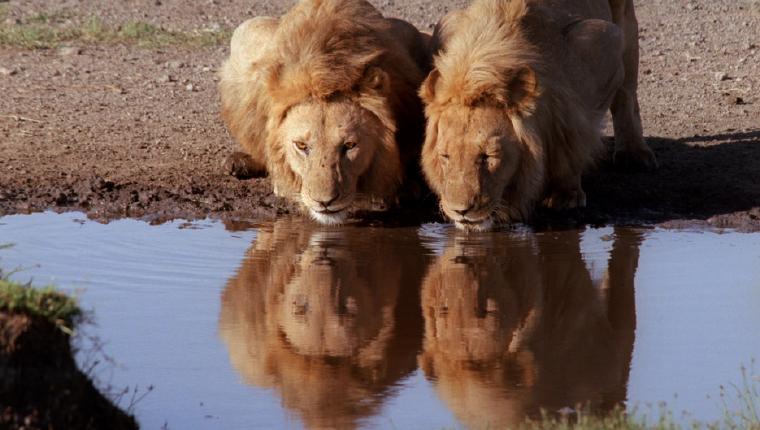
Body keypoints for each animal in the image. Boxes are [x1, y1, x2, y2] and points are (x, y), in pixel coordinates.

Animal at [221, 0, 434, 225]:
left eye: (349, 145)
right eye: (301, 146)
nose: (324, 202)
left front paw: (404, 190)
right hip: (247, 29)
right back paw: (237, 162)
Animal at [418, 0, 656, 232]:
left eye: (489, 156)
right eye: (445, 156)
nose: (461, 211)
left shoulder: (603, 41)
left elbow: (577, 134)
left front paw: (565, 193)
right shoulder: (445, 25)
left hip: (623, 25)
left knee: (627, 92)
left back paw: (633, 153)